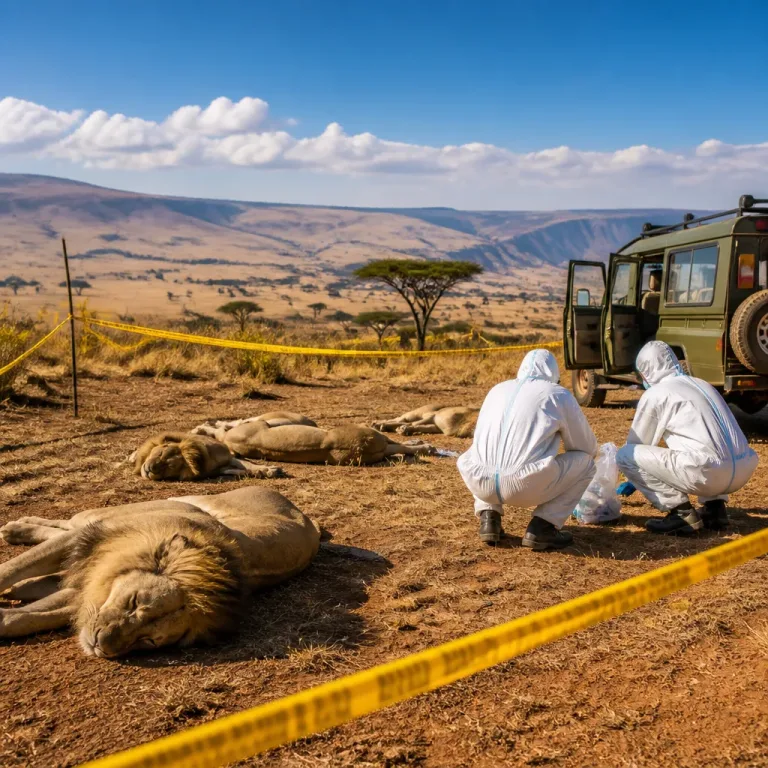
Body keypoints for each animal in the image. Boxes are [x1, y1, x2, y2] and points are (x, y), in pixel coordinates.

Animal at [0, 487, 326, 657]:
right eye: (134, 602)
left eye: (147, 641)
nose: (101, 645)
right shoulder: (89, 541)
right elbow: (12, 569)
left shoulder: (87, 591)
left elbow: (27, 618)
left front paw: (13, 609)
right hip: (115, 513)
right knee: (66, 523)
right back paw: (15, 529)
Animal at [129, 432, 283, 481]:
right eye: (160, 453)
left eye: (169, 466)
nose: (150, 468)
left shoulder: (227, 459)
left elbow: (247, 466)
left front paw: (267, 470)